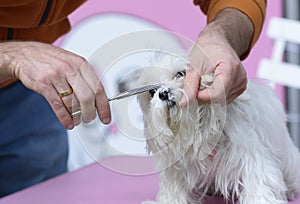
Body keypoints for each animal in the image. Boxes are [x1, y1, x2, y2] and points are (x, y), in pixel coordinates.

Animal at [136, 52, 300, 204]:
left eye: (180, 74)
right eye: (152, 92)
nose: (163, 93)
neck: (197, 125)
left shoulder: (249, 154)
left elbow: (259, 179)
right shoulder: (178, 168)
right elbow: (174, 190)